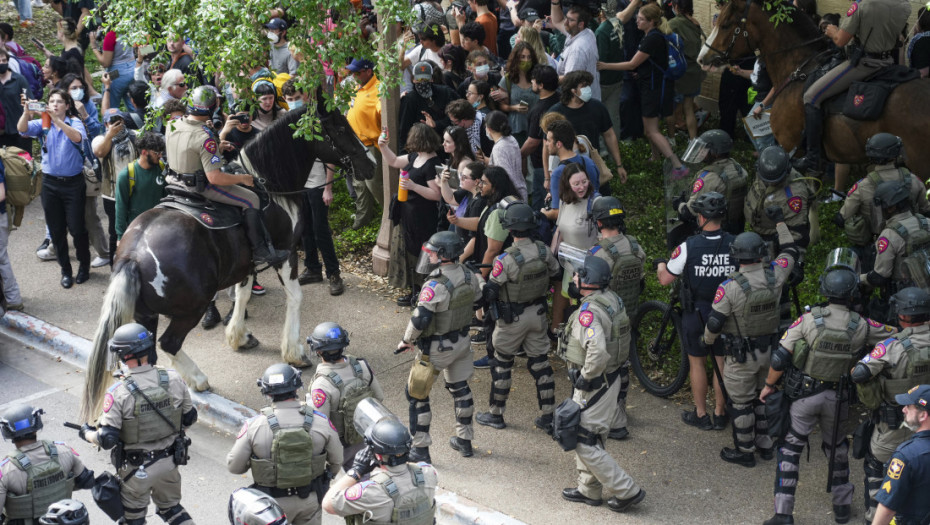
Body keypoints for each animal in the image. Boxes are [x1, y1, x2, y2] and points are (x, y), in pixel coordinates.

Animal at [80, 107, 376, 422]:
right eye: (341, 128)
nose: (370, 165)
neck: (270, 184)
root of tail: (132, 255)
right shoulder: (285, 254)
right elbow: (295, 297)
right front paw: (294, 351)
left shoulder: (245, 265)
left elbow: (243, 295)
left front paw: (238, 336)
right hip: (192, 307)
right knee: (169, 343)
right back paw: (197, 379)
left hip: (145, 315)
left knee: (149, 349)